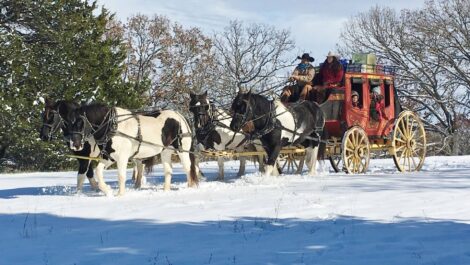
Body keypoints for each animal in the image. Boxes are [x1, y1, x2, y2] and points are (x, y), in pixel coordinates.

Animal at [69, 102, 197, 195]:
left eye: (81, 123)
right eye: (69, 123)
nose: (75, 145)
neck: (113, 126)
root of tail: (179, 116)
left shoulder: (122, 157)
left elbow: (121, 176)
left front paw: (120, 195)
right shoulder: (109, 157)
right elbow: (98, 172)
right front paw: (108, 190)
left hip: (182, 150)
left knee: (188, 167)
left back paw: (190, 187)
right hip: (166, 151)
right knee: (168, 170)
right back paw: (166, 190)